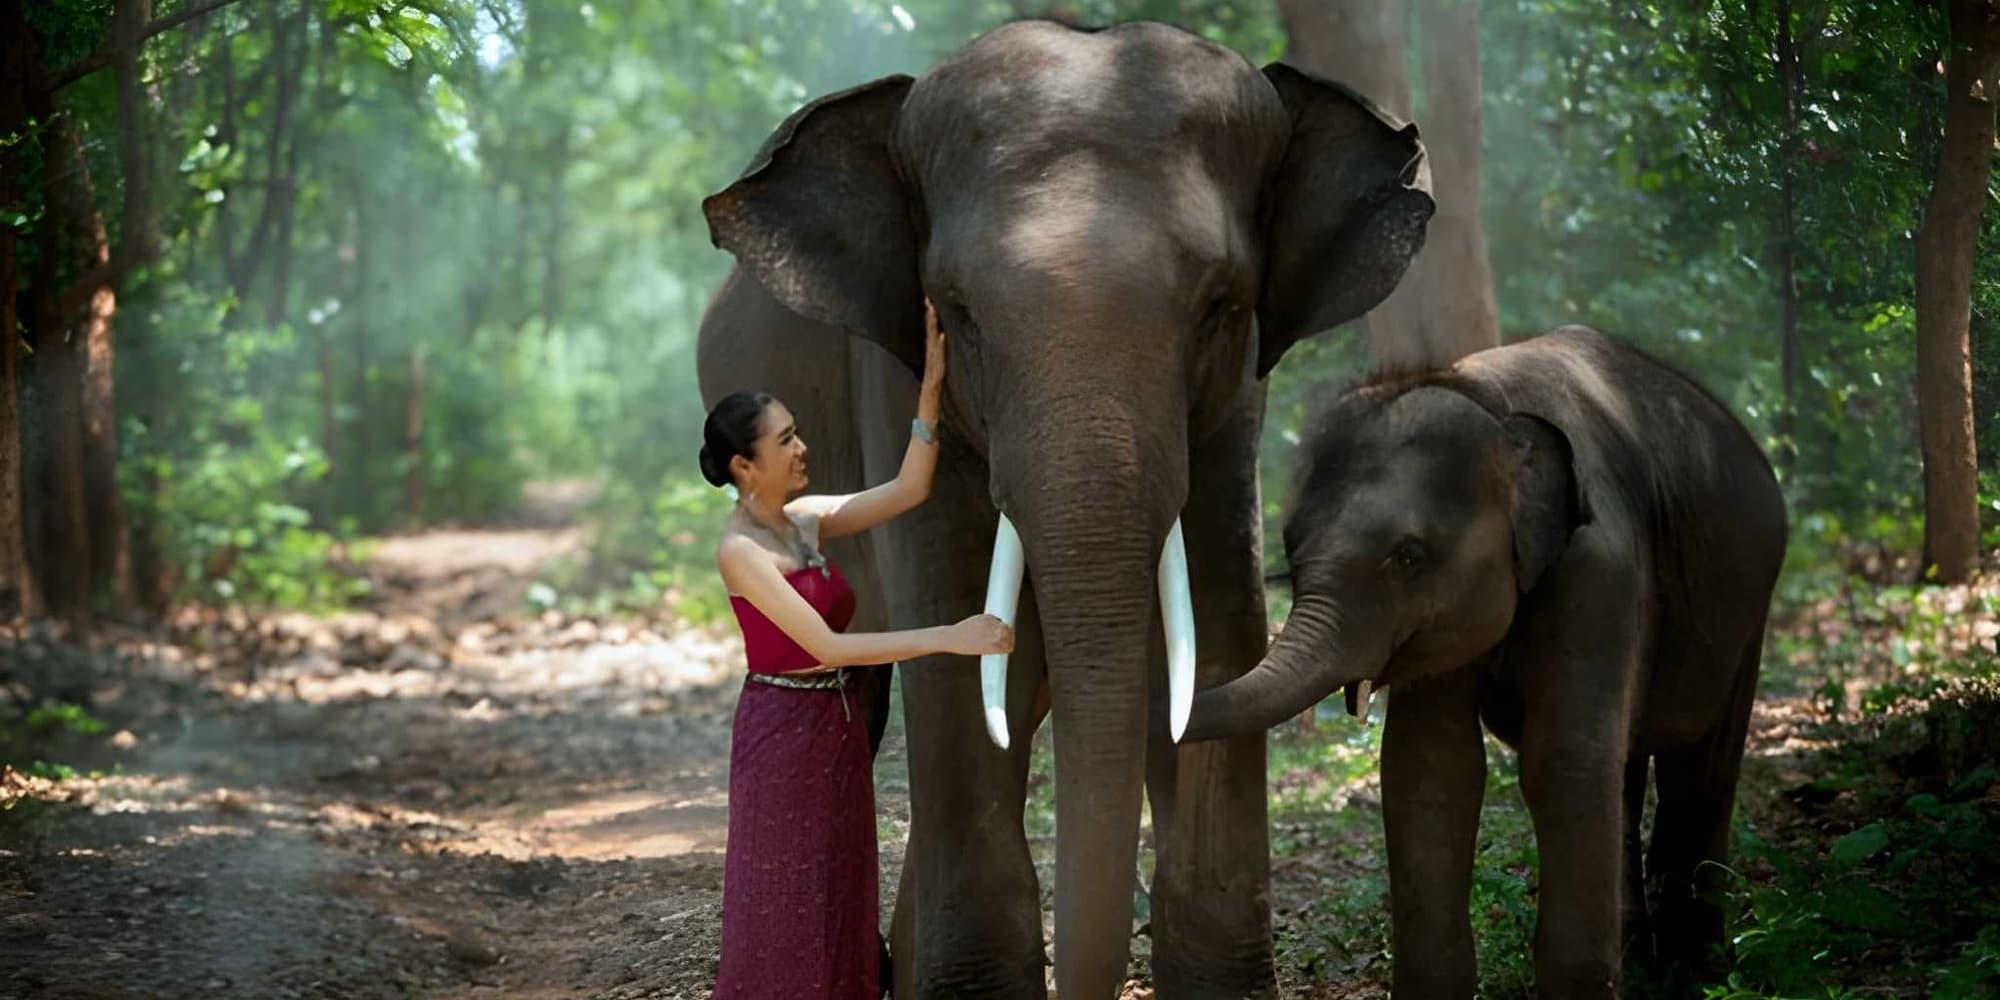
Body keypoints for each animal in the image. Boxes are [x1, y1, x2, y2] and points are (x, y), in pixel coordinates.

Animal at [695, 19, 1434, 999]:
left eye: (1218, 304)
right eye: (955, 312)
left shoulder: (1235, 402)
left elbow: (1216, 622)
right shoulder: (890, 381)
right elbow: (954, 651)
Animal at [1183, 326, 1787, 998]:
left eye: (1408, 556)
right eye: (1291, 548)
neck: (1488, 400)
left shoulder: (1600, 565)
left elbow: (1563, 760)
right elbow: (1431, 765)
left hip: (1751, 598)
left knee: (1702, 762)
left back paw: (1695, 972)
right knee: (1628, 766)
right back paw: (1641, 961)